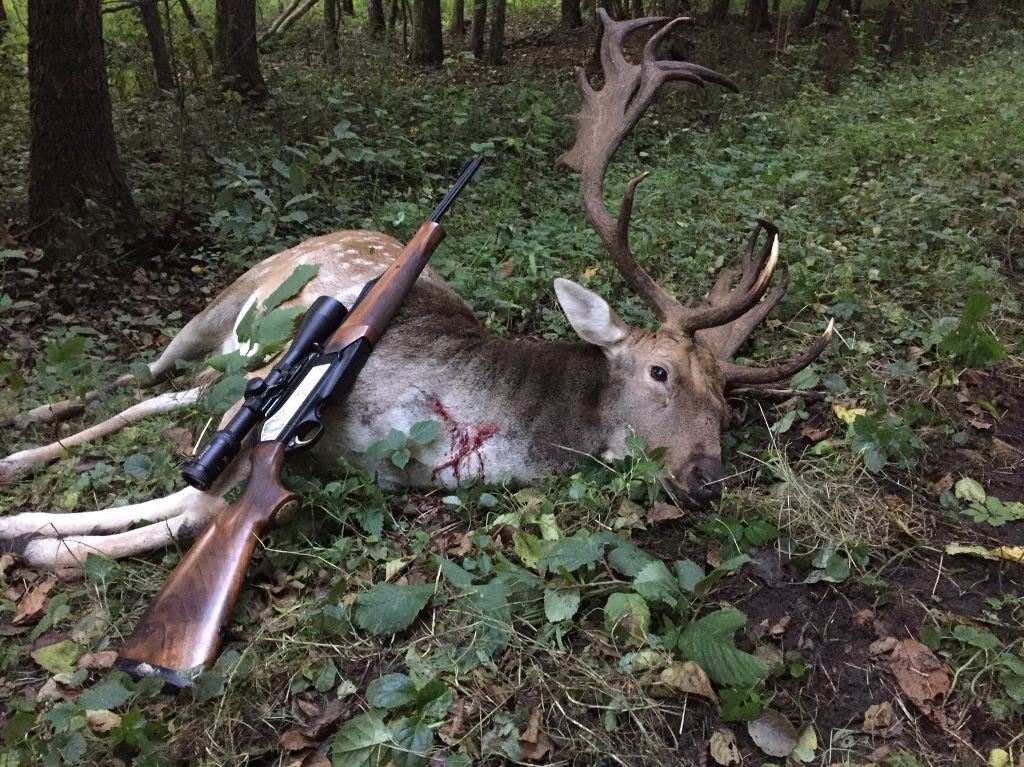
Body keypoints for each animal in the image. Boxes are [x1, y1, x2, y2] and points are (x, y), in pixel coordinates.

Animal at [0, 11, 832, 569]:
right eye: (660, 371)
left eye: (727, 407)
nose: (708, 482)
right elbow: (192, 500)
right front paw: (30, 536)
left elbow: (196, 508)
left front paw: (38, 539)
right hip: (229, 310)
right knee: (146, 376)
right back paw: (29, 437)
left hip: (233, 364)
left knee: (169, 397)